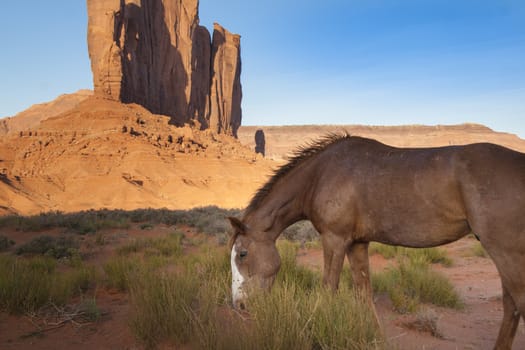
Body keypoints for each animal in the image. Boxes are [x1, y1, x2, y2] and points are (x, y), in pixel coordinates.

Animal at [228, 133, 524, 348]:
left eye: (242, 253)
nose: (238, 305)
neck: (319, 176)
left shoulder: (334, 240)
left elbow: (327, 290)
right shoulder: (357, 244)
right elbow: (364, 293)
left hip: (505, 250)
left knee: (515, 303)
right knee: (511, 306)